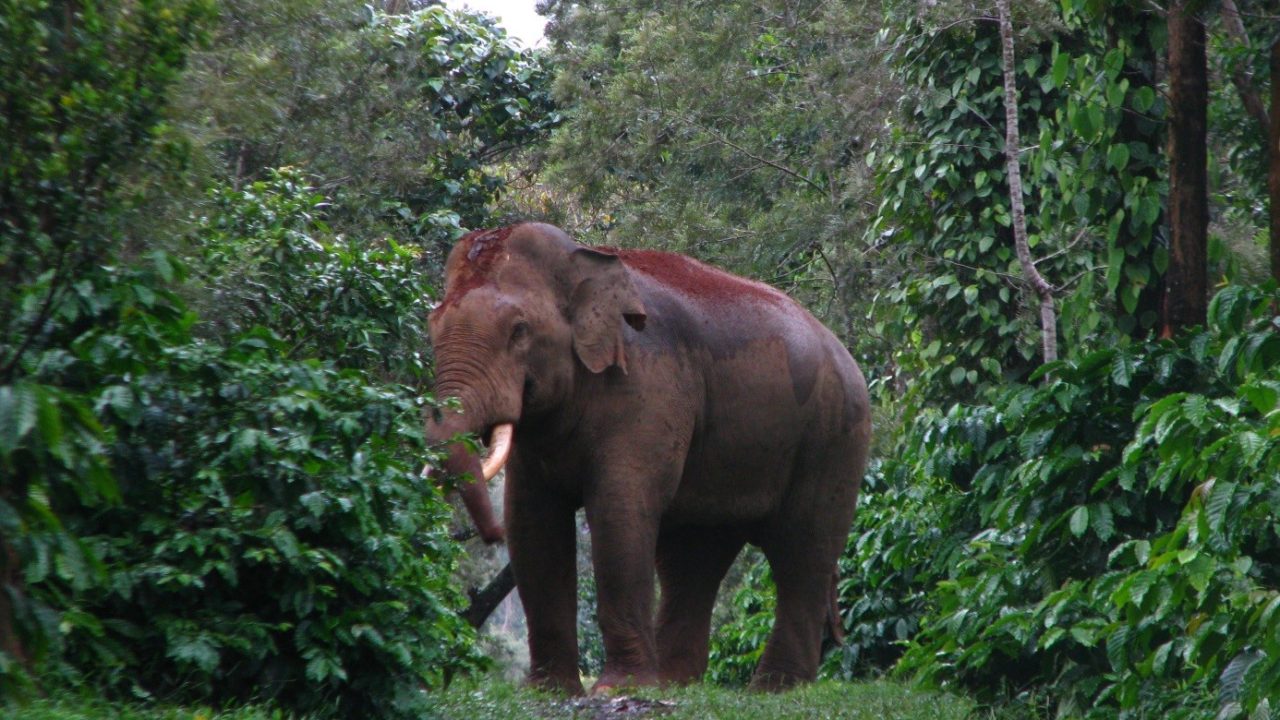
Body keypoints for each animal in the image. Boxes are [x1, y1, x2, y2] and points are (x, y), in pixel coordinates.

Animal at [427, 221, 870, 691]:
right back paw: (678, 682)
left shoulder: (648, 384)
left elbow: (619, 510)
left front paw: (617, 688)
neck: (585, 259)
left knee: (802, 552)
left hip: (835, 438)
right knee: (693, 557)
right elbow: (532, 523)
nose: (489, 537)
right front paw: (548, 690)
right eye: (430, 326)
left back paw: (775, 687)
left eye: (519, 330)